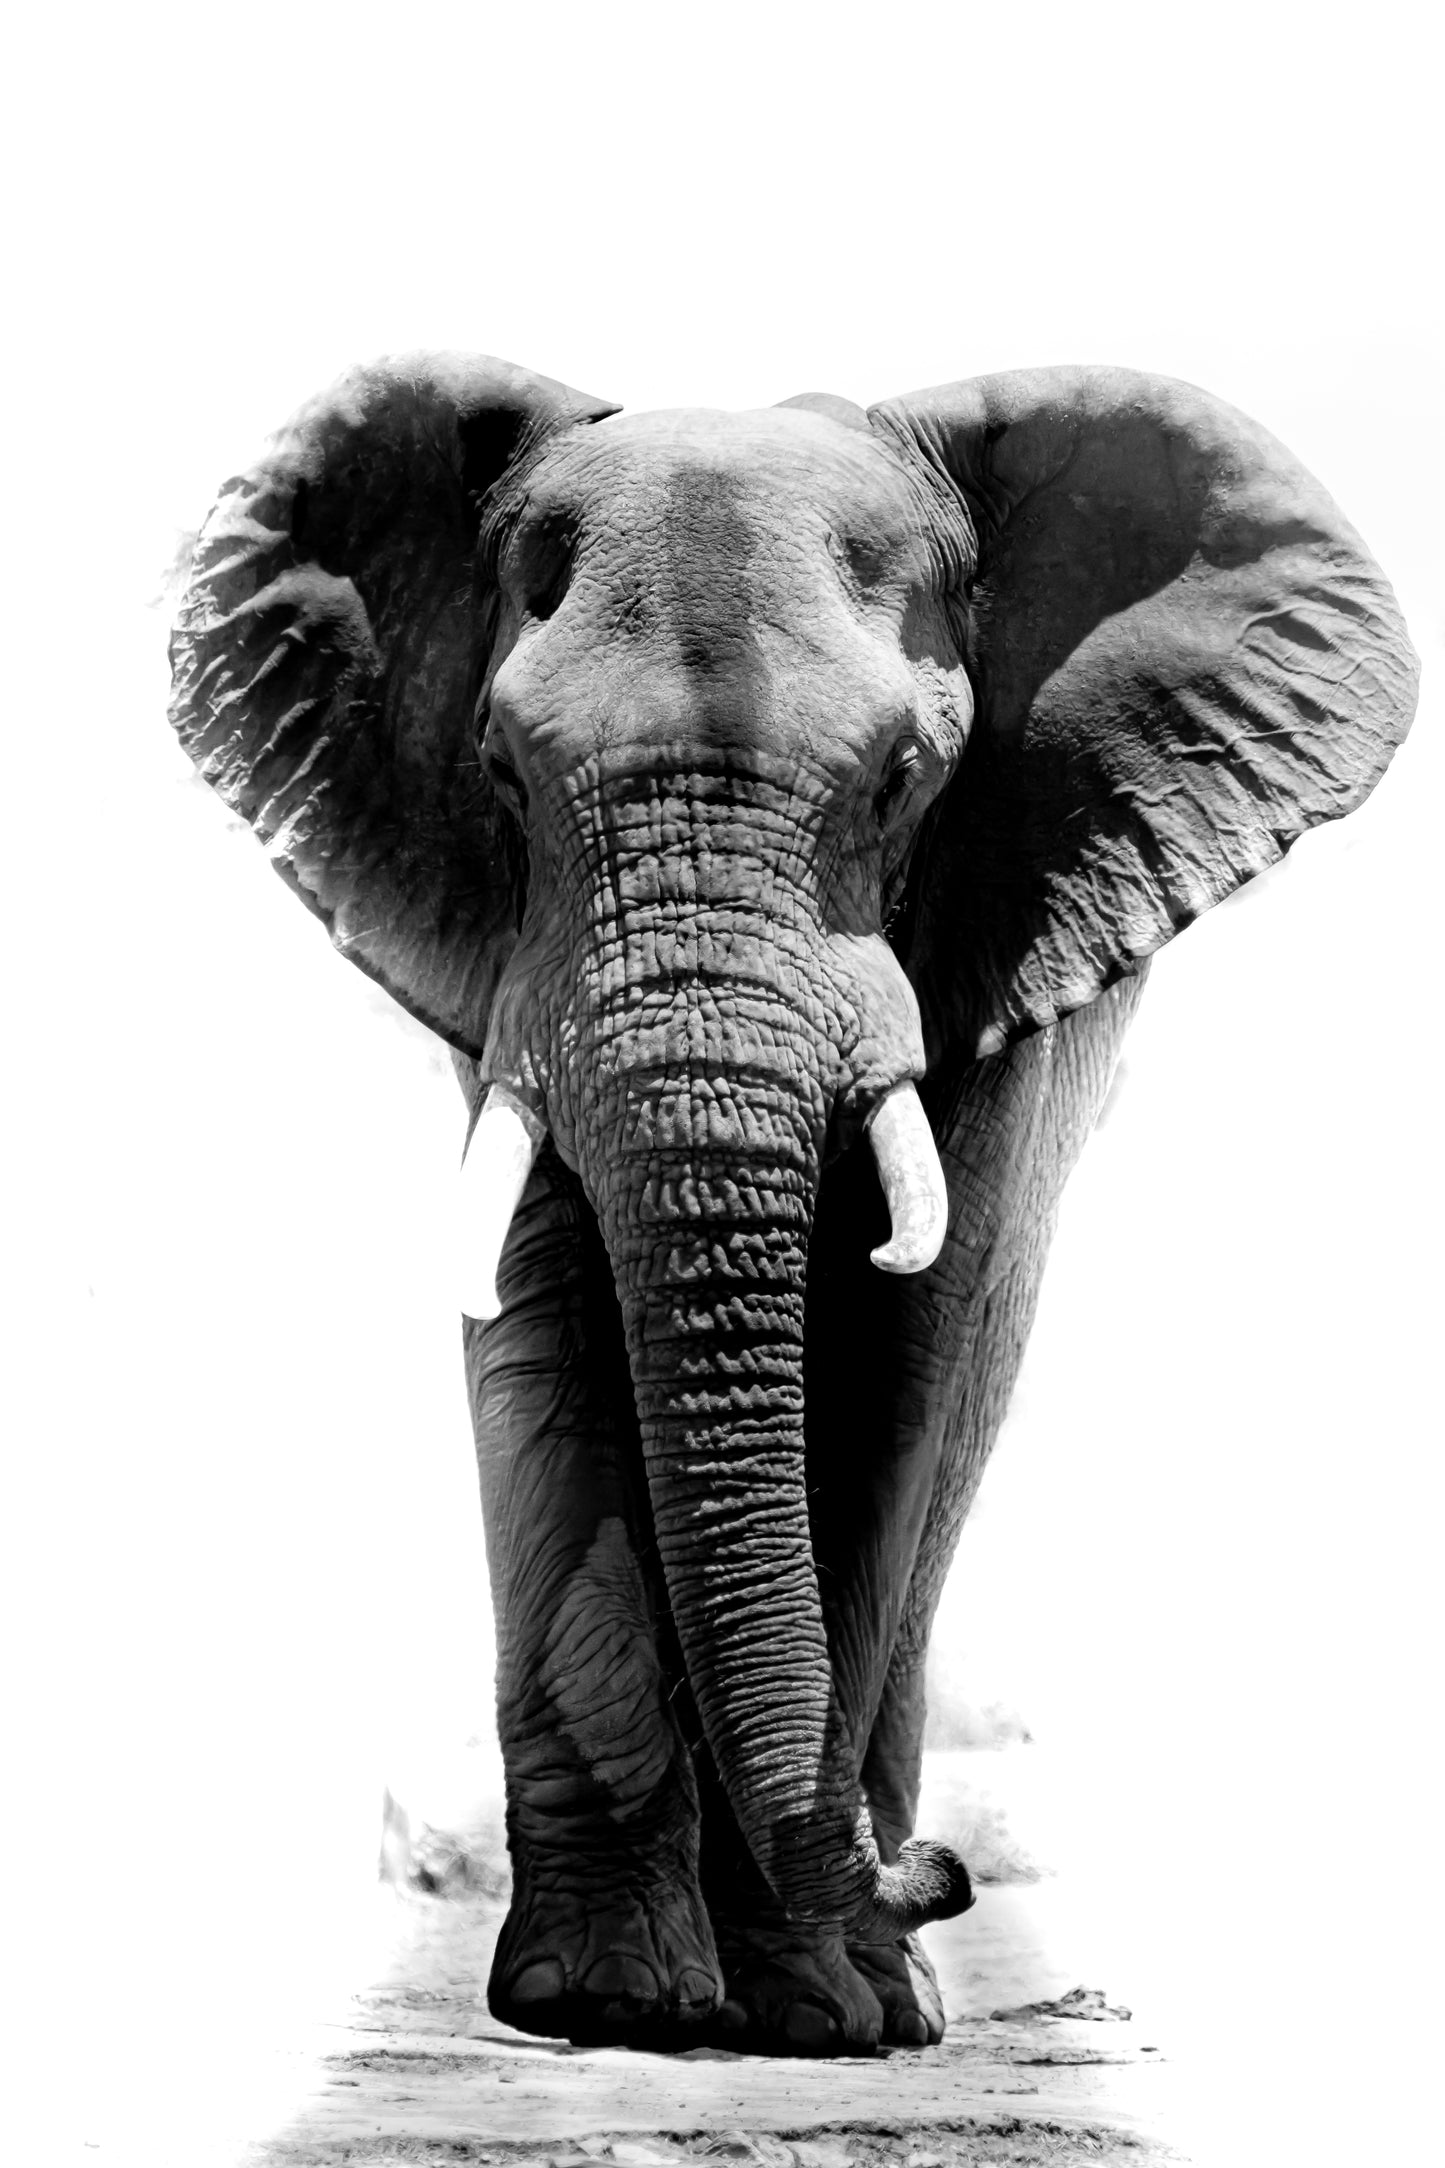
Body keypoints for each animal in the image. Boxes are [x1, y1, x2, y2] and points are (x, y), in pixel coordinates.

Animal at [170, 354, 1417, 2058]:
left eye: (902, 782)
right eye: (499, 777)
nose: (946, 1871)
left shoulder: (998, 914)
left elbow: (902, 1356)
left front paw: (823, 2012)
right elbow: (544, 1315)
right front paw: (610, 2001)